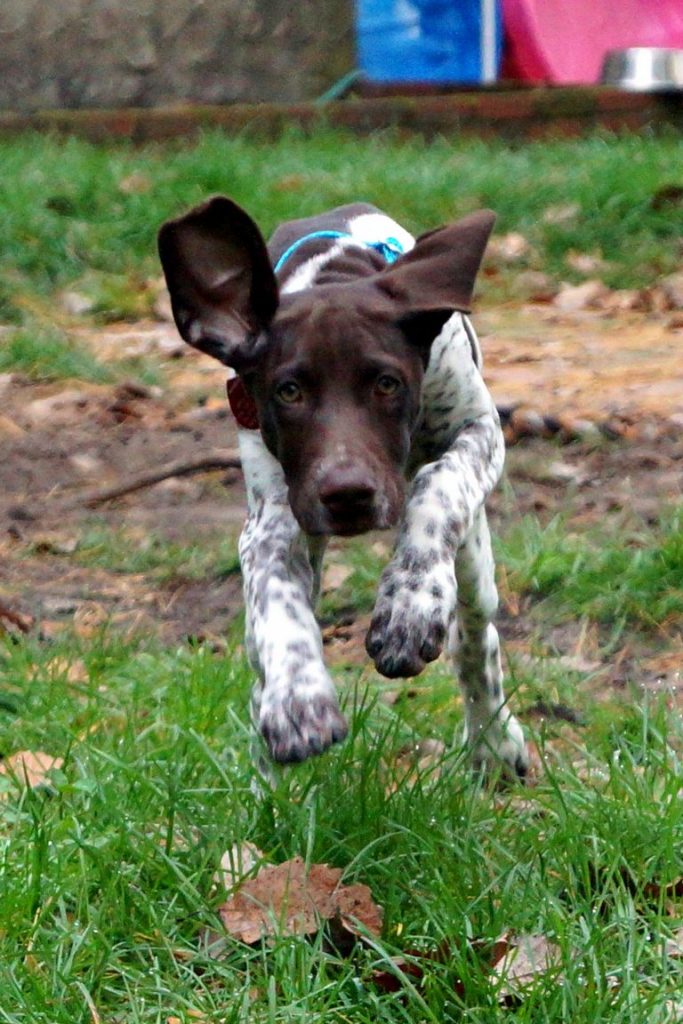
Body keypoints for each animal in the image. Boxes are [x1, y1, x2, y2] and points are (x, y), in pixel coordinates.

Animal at [158, 193, 528, 774]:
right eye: (288, 391)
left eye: (387, 384)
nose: (347, 494)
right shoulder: (276, 515)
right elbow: (276, 596)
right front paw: (297, 698)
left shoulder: (480, 430)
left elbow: (436, 484)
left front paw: (409, 601)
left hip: (474, 562)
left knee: (474, 633)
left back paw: (493, 742)